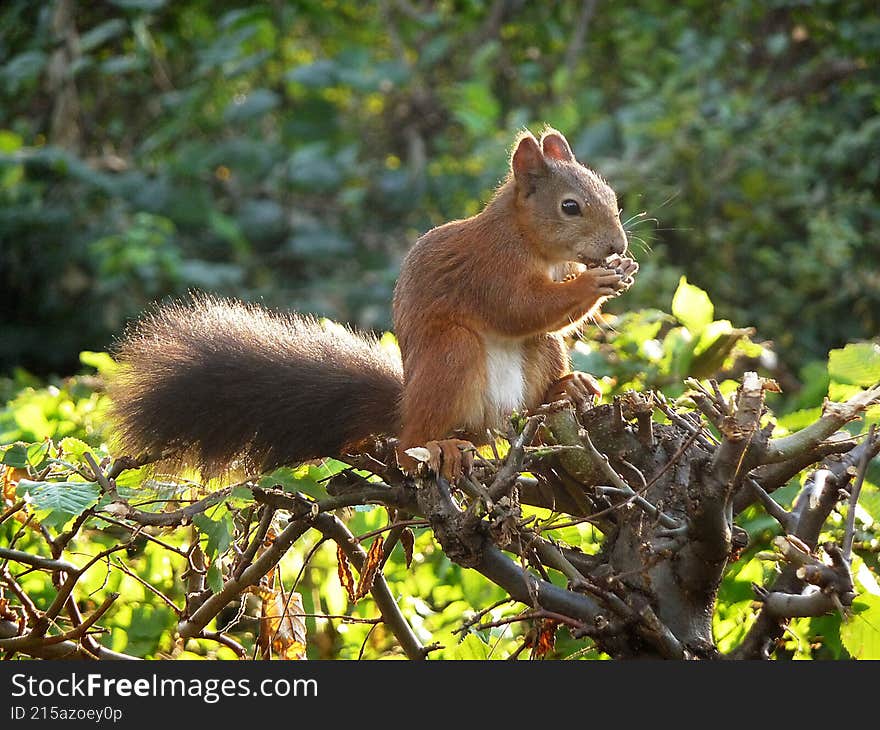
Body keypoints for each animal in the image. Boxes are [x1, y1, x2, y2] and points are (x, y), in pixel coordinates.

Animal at [108, 127, 637, 480]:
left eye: (612, 194)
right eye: (570, 207)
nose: (618, 244)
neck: (531, 241)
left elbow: (546, 318)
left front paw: (617, 273)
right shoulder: (489, 269)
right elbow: (518, 307)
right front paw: (594, 283)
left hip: (536, 355)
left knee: (541, 365)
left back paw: (566, 388)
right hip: (450, 355)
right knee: (410, 447)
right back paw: (438, 448)